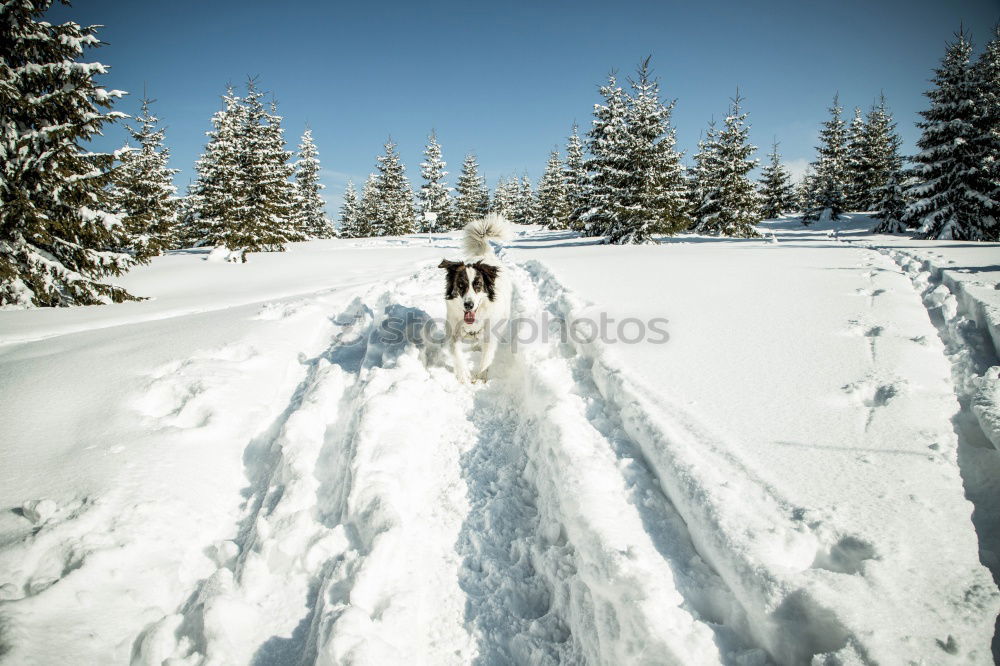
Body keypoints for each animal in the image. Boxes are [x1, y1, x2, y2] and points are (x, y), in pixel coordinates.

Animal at [440, 210, 512, 382]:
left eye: (478, 285)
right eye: (461, 285)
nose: (469, 305)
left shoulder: (490, 332)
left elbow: (486, 357)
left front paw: (480, 377)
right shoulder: (453, 330)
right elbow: (456, 351)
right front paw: (463, 374)